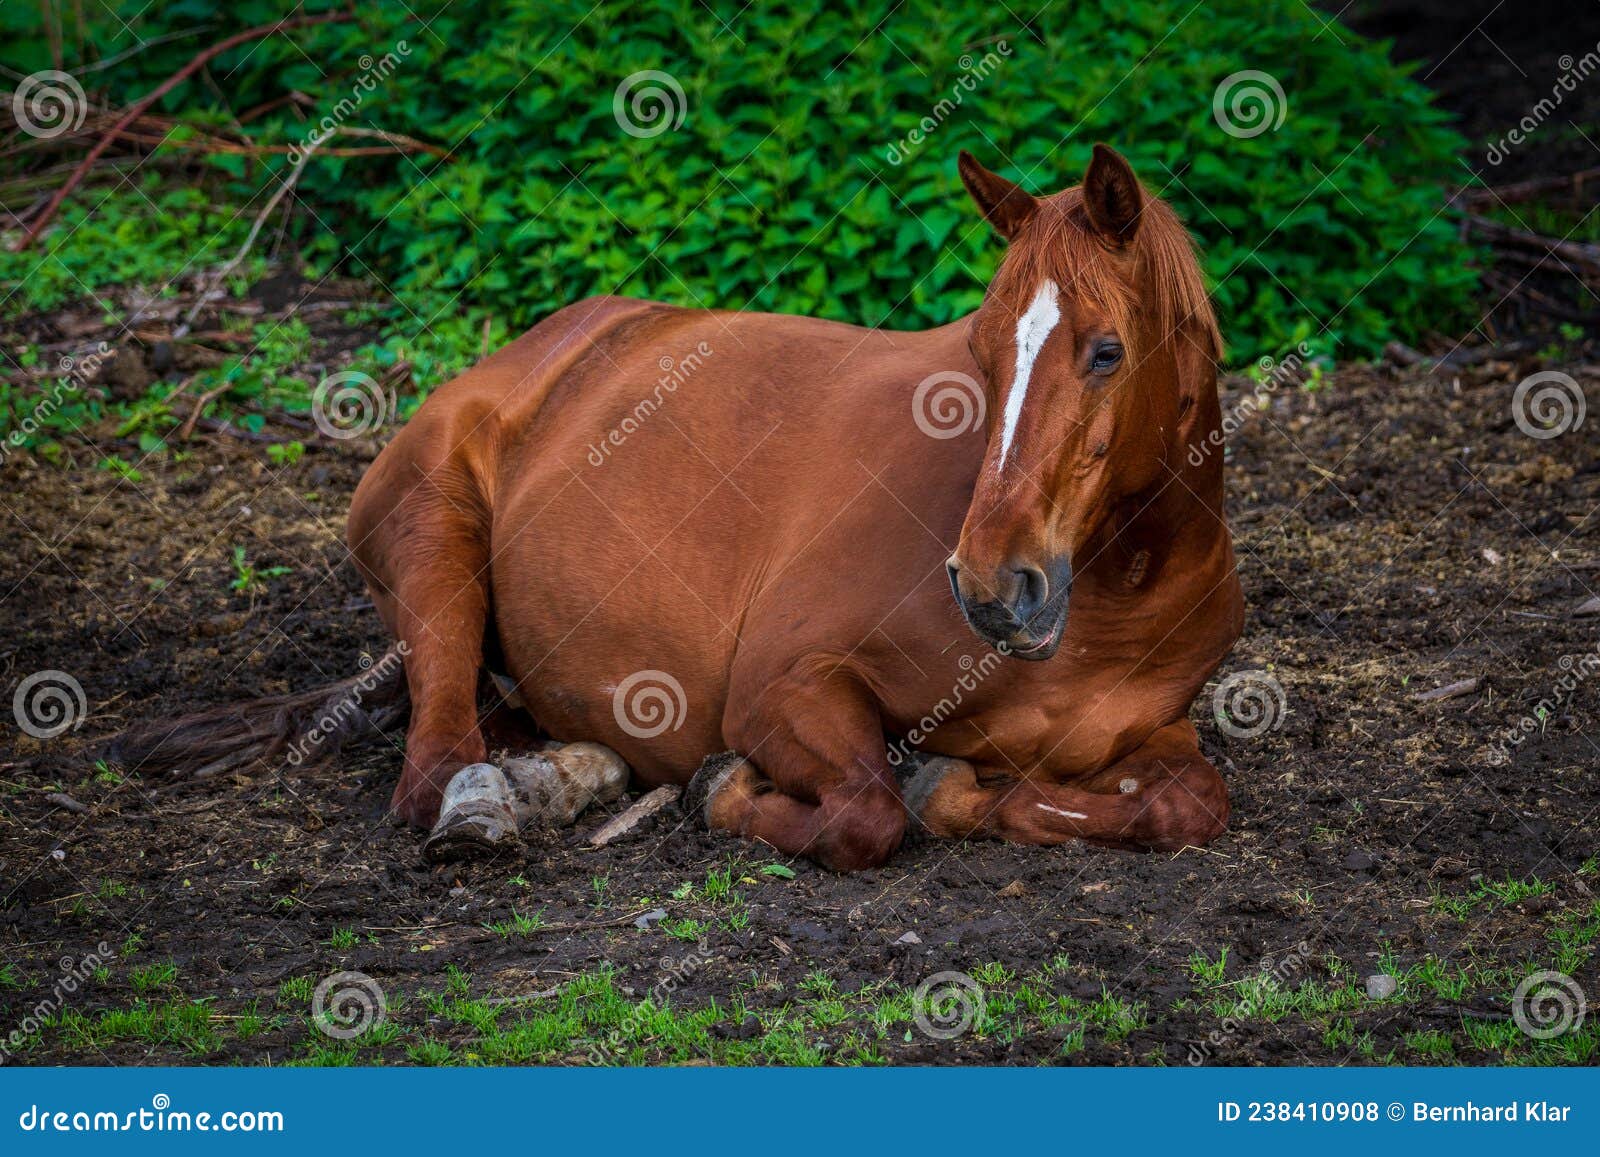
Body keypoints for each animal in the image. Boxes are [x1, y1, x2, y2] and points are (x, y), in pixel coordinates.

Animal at [116, 144, 1243, 872]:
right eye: (977, 347)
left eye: (1106, 351)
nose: (992, 585)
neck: (1115, 598)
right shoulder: (781, 688)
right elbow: (870, 813)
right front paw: (735, 789)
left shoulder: (1156, 735)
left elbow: (1187, 805)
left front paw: (968, 788)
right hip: (435, 546)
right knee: (435, 759)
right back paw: (500, 797)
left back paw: (565, 771)